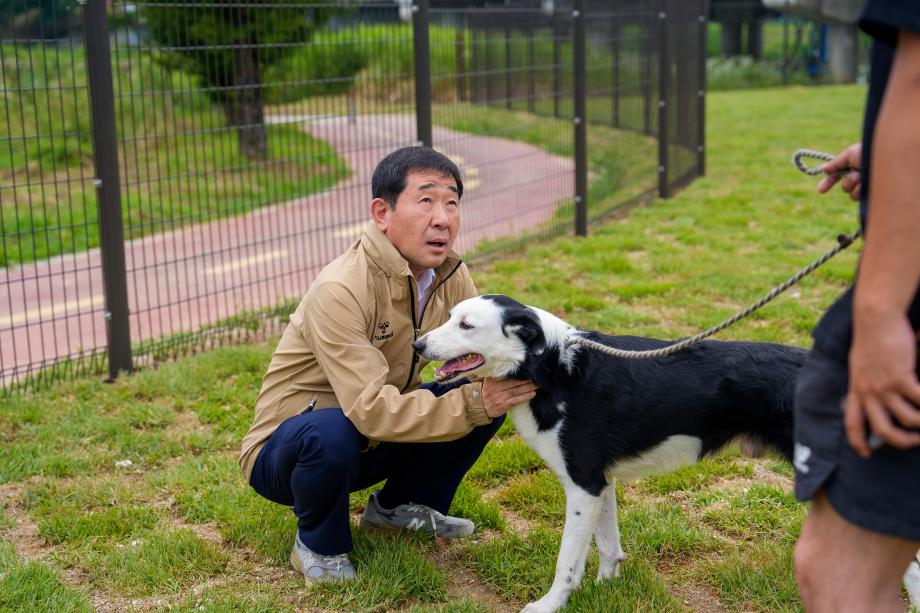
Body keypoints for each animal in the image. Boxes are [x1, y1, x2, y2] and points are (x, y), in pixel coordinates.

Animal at [412, 294, 804, 608]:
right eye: (450, 316)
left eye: (466, 325)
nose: (417, 345)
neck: (554, 368)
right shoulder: (600, 484)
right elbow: (608, 546)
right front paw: (605, 588)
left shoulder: (583, 486)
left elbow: (567, 562)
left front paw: (550, 605)